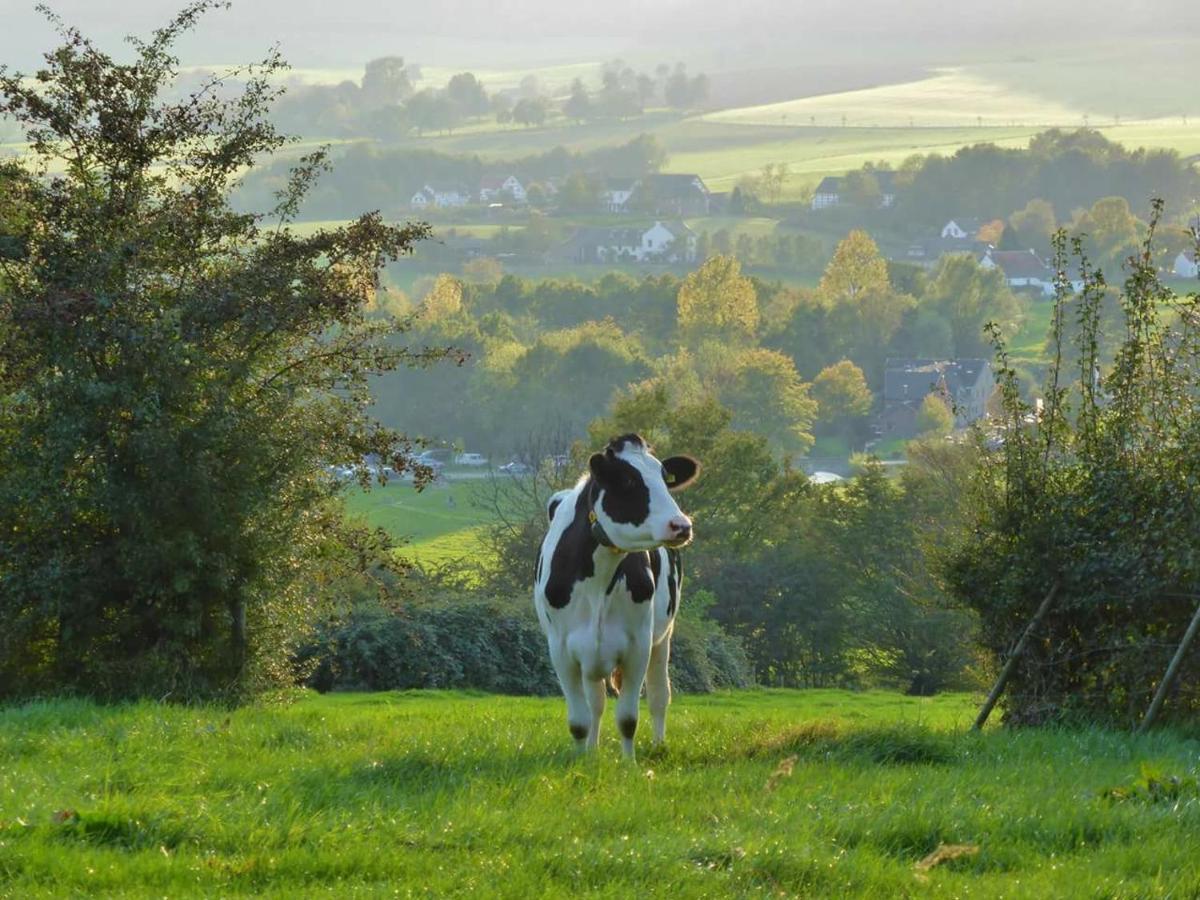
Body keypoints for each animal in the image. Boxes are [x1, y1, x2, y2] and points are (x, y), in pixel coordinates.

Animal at [532, 434, 700, 758]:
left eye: (665, 478)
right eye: (627, 480)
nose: (681, 525)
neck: (598, 581)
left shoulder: (638, 646)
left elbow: (627, 718)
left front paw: (629, 763)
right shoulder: (561, 650)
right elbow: (579, 721)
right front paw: (582, 759)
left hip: (663, 636)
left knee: (659, 695)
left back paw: (659, 745)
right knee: (596, 704)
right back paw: (593, 751)